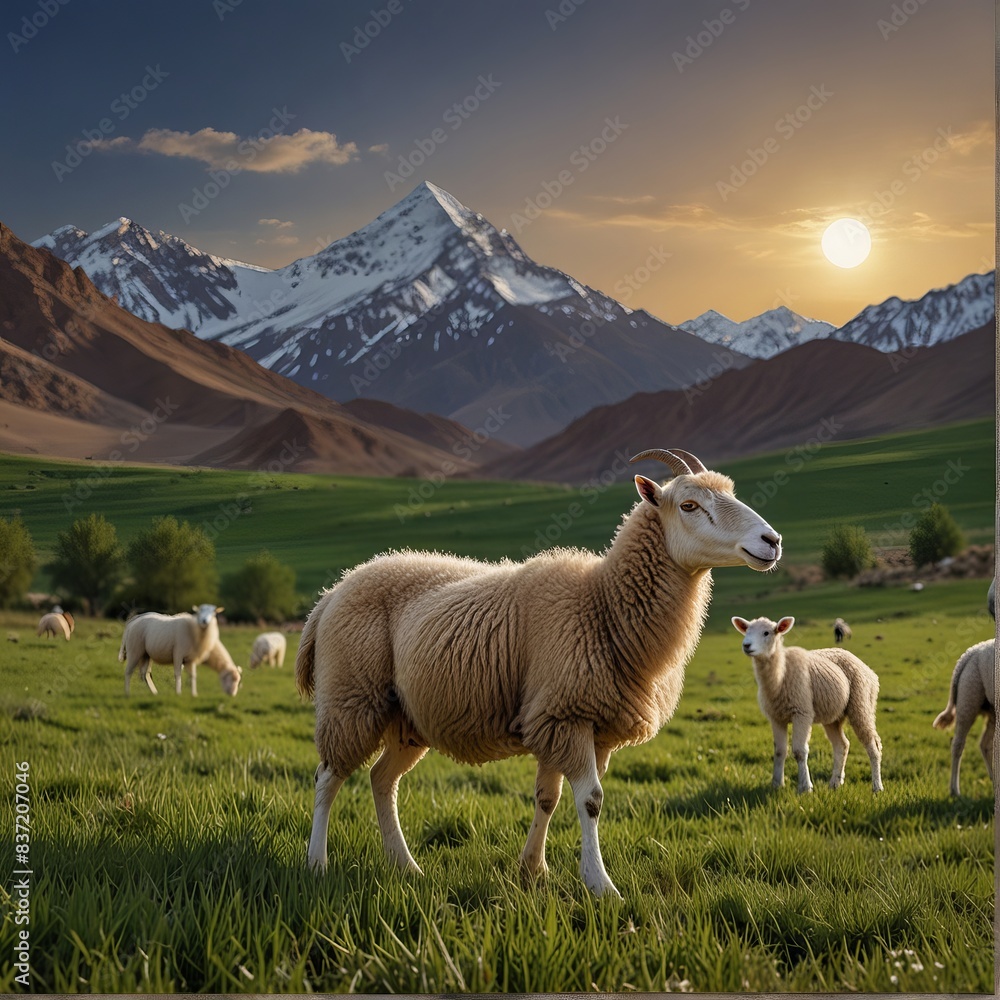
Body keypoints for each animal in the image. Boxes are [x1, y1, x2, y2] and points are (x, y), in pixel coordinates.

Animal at [296, 447, 782, 897]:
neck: (603, 604)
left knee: (382, 780)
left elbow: (549, 798)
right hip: (351, 697)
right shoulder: (565, 714)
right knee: (327, 777)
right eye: (689, 505)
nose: (772, 539)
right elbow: (591, 801)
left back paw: (405, 866)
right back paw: (317, 863)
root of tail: (333, 591)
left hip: (407, 717)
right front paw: (600, 885)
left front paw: (532, 870)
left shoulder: (577, 722)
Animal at [732, 615, 883, 794]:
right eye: (747, 631)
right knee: (842, 745)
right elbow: (779, 751)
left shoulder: (802, 712)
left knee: (872, 744)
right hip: (833, 715)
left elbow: (799, 751)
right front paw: (777, 785)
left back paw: (877, 786)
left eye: (766, 633)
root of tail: (868, 670)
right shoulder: (776, 717)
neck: (779, 677)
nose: (746, 645)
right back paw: (835, 783)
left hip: (862, 704)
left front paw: (805, 787)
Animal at [932, 638, 994, 796]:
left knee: (985, 744)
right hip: (968, 696)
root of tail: (971, 652)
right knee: (958, 744)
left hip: (992, 708)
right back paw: (955, 790)